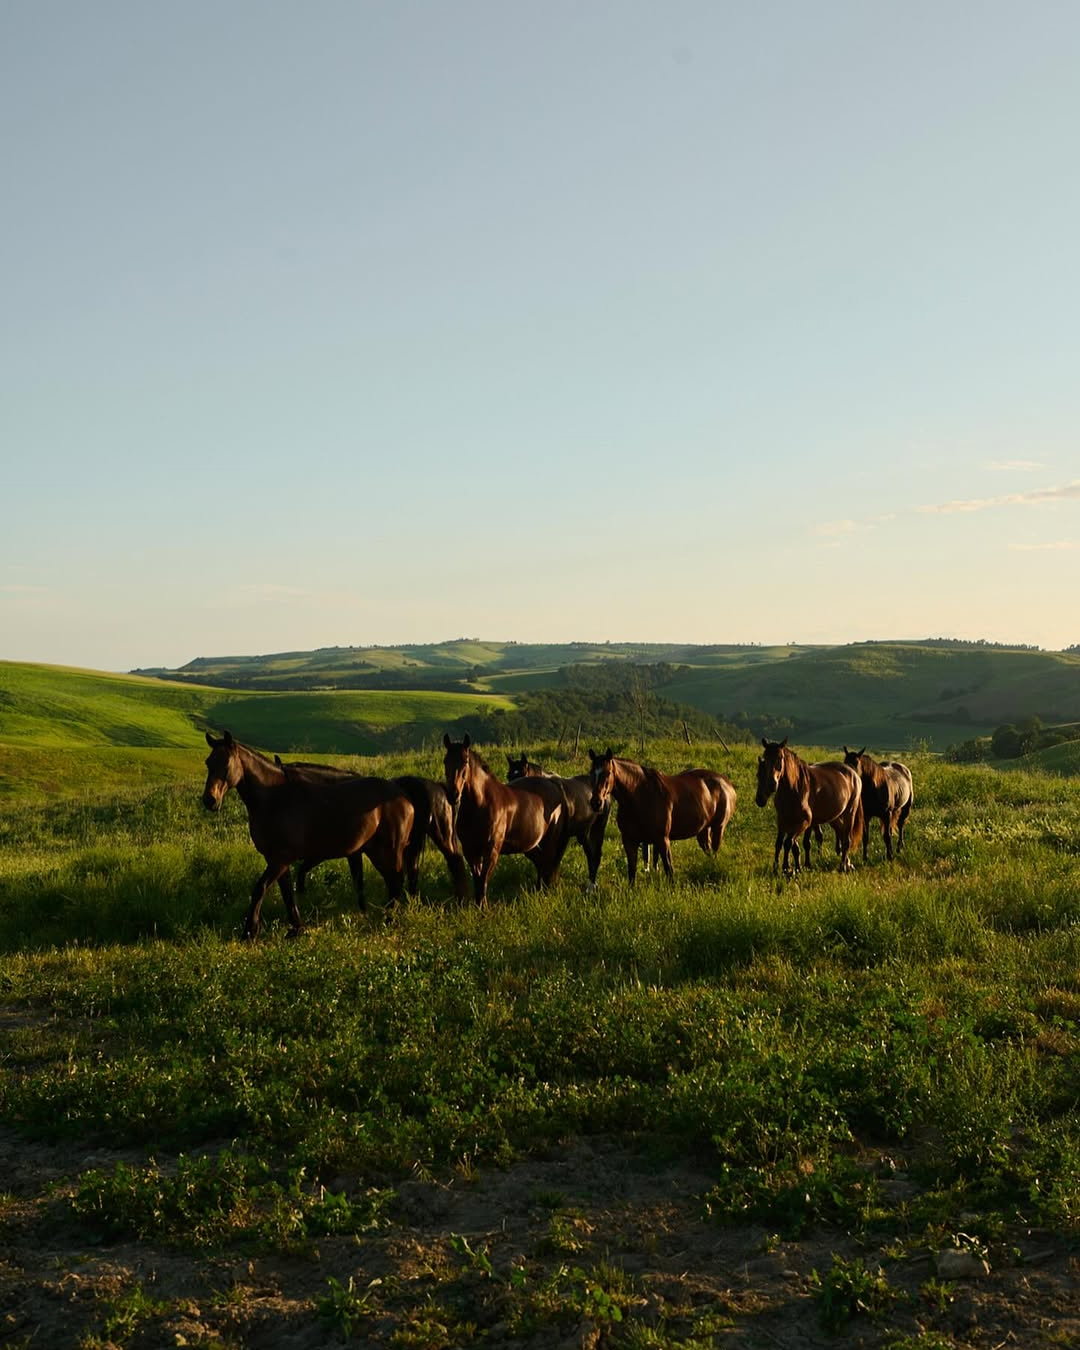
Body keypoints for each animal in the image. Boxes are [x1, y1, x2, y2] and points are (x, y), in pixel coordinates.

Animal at [201, 731, 414, 937]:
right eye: (208, 763)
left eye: (226, 763)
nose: (209, 800)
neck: (276, 799)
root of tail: (403, 796)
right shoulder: (277, 860)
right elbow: (287, 893)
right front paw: (296, 929)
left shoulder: (281, 859)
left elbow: (260, 889)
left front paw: (250, 931)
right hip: (374, 851)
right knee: (391, 882)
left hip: (388, 851)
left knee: (395, 882)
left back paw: (389, 921)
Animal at [443, 734, 570, 904]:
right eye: (445, 761)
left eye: (465, 761)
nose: (453, 794)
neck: (481, 803)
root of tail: (554, 785)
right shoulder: (470, 850)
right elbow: (477, 880)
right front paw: (478, 906)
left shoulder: (492, 849)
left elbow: (483, 880)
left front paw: (483, 908)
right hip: (531, 845)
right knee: (541, 864)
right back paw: (538, 891)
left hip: (550, 841)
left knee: (548, 865)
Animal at [506, 751, 611, 887]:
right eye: (509, 776)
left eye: (523, 773)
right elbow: (542, 861)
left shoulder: (561, 836)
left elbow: (553, 860)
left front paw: (551, 883)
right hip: (583, 833)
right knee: (590, 853)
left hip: (598, 828)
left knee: (596, 854)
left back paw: (592, 884)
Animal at [586, 749, 737, 883]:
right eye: (591, 773)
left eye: (608, 773)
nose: (596, 802)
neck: (639, 795)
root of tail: (726, 784)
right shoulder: (629, 840)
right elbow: (632, 871)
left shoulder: (662, 840)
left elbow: (669, 869)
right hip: (703, 830)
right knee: (709, 851)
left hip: (718, 828)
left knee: (715, 851)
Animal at [754, 738, 862, 875]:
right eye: (765, 758)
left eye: (780, 757)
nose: (772, 784)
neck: (794, 789)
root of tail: (853, 773)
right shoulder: (783, 821)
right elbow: (782, 843)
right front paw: (783, 868)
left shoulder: (804, 822)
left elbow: (789, 843)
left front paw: (787, 868)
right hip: (835, 817)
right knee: (842, 834)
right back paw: (848, 863)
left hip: (850, 813)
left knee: (847, 840)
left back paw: (843, 866)